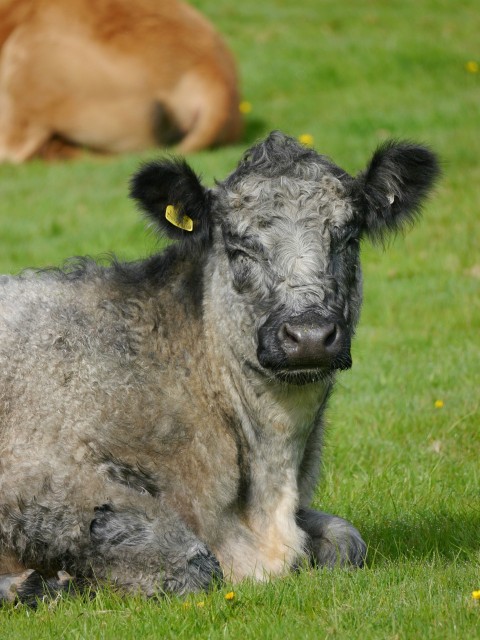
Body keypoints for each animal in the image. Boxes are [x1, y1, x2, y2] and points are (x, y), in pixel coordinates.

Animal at [0, 132, 438, 604]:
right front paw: (53, 583)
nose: (309, 335)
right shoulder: (37, 478)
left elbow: (347, 539)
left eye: (348, 240)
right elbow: (192, 564)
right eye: (237, 247)